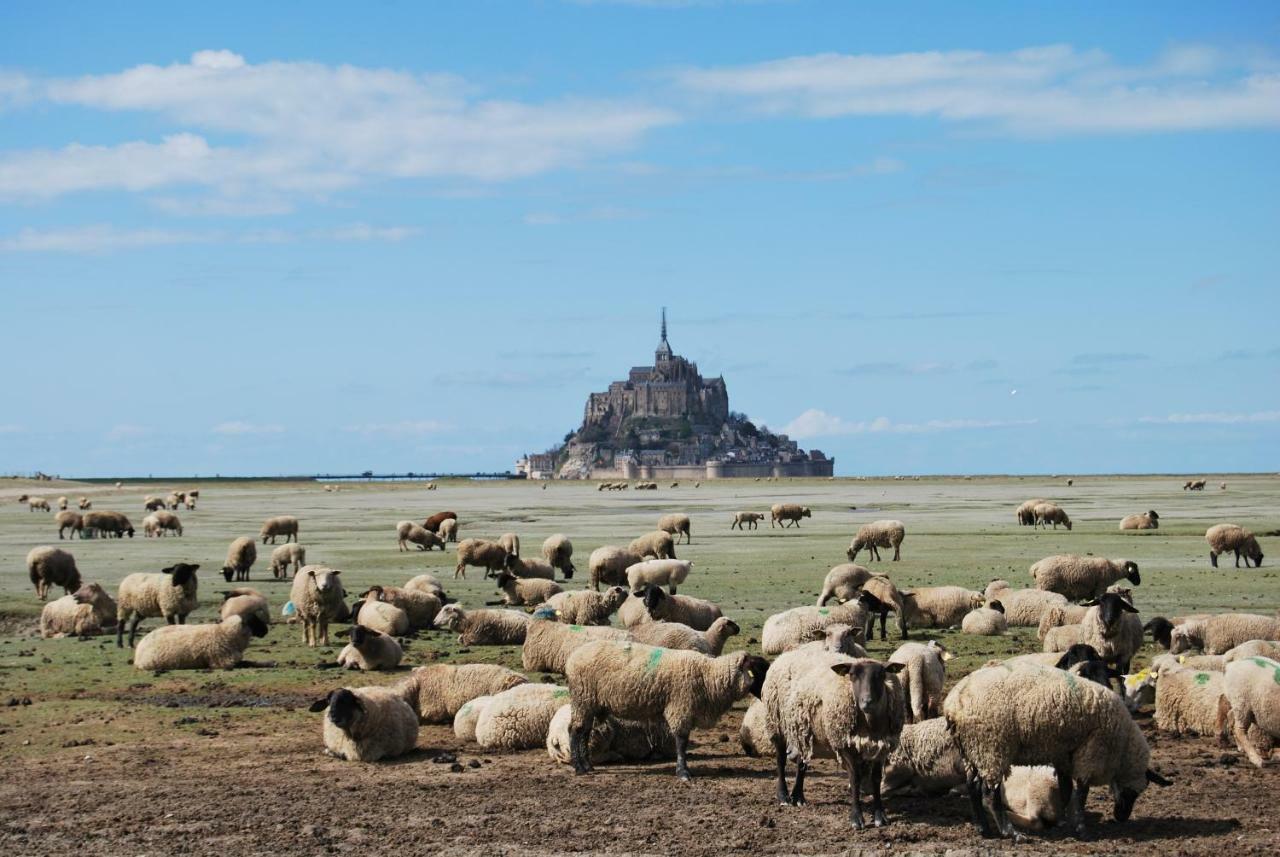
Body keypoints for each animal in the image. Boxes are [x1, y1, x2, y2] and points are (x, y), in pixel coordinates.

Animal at [132, 613, 267, 675]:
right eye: (254, 620)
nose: (265, 630)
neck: (224, 633)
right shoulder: (222, 662)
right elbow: (247, 663)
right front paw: (268, 663)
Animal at [563, 642, 762, 782]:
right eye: (755, 668)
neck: (708, 676)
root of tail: (572, 658)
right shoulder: (680, 707)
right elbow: (681, 742)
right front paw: (683, 772)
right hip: (583, 699)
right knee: (575, 731)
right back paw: (579, 767)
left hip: (590, 703)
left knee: (584, 731)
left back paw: (588, 766)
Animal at [942, 665, 1172, 839]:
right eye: (1135, 792)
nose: (1121, 817)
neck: (1122, 746)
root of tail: (953, 702)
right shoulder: (1091, 753)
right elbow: (1081, 792)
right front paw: (1081, 828)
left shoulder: (1064, 755)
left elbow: (1066, 789)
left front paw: (1064, 821)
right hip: (991, 747)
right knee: (990, 795)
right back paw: (1011, 832)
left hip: (972, 749)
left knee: (972, 788)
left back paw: (984, 829)